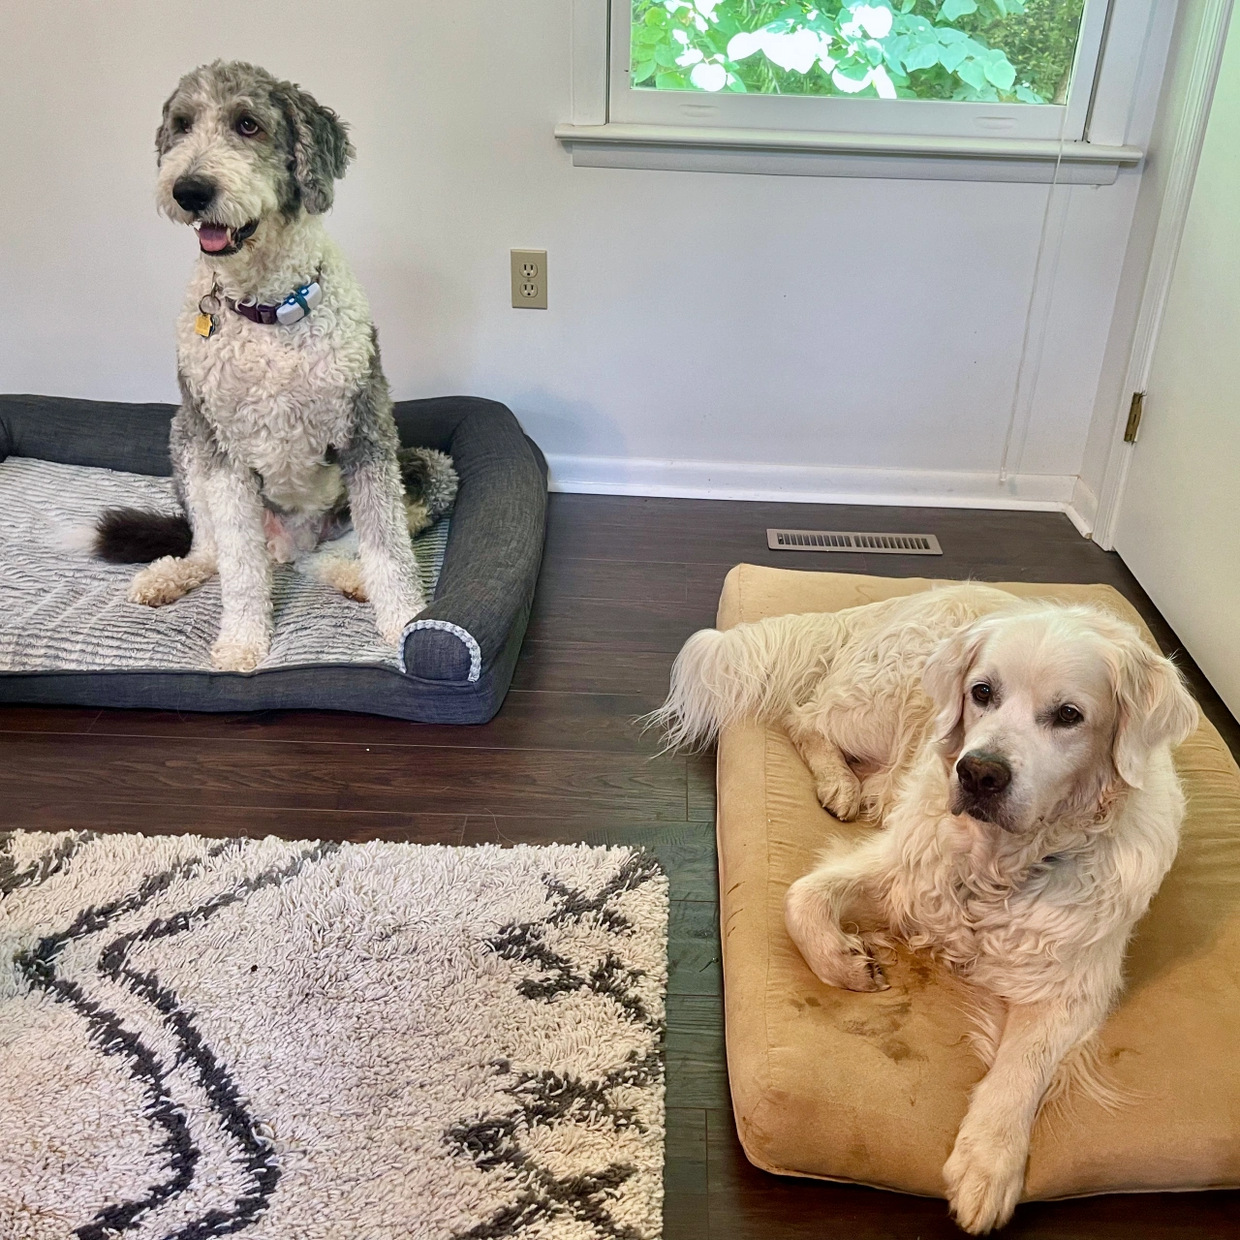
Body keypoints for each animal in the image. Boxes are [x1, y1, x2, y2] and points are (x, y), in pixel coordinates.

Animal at [95, 60, 456, 669]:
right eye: (183, 125)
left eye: (248, 124)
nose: (189, 189)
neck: (267, 310)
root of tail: (291, 546)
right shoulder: (223, 455)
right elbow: (241, 569)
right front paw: (242, 643)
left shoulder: (367, 435)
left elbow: (388, 547)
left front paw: (405, 621)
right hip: (185, 439)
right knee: (213, 550)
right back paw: (168, 576)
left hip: (429, 467)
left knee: (349, 547)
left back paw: (350, 576)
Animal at [654, 585, 1195, 1235]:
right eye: (982, 692)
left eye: (1069, 715)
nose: (979, 772)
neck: (1001, 866)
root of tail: (904, 596)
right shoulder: (900, 872)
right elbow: (799, 899)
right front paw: (848, 963)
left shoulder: (1076, 985)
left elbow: (1021, 1068)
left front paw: (987, 1165)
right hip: (873, 707)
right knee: (805, 716)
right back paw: (842, 783)